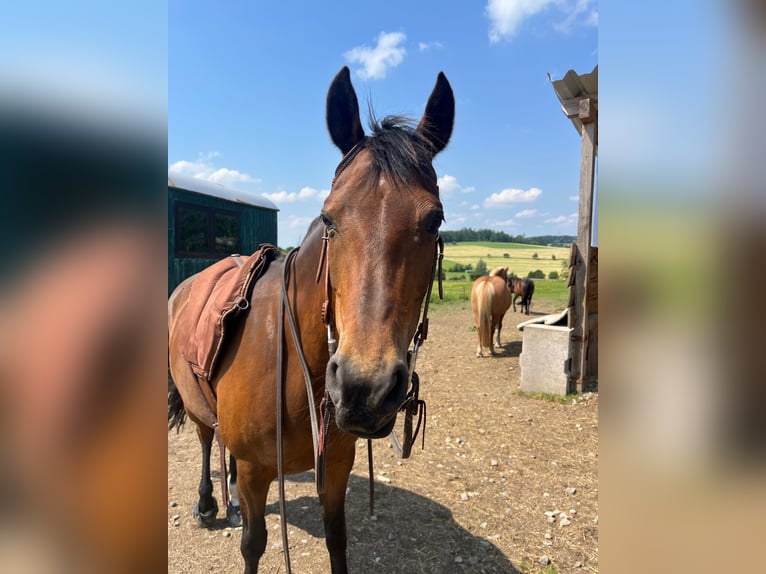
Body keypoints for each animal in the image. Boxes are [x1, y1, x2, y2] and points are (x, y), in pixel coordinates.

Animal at [168, 66, 454, 573]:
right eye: (329, 218)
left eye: (434, 220)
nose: (365, 388)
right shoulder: (259, 473)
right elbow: (254, 545)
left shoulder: (336, 467)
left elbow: (337, 539)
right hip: (197, 404)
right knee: (205, 440)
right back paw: (207, 503)